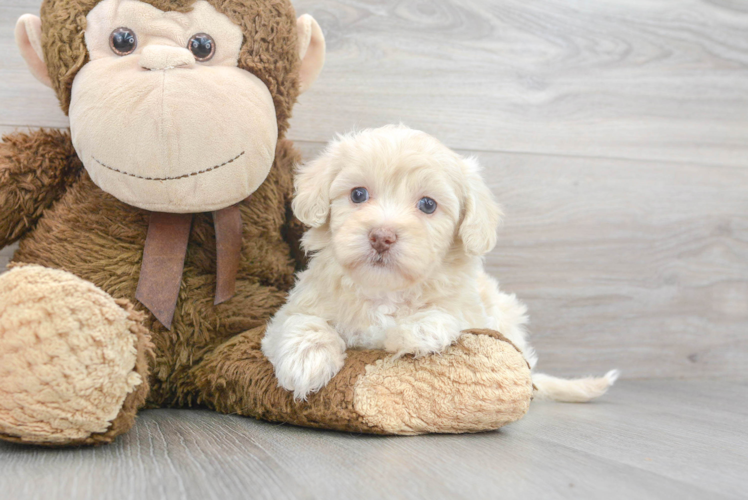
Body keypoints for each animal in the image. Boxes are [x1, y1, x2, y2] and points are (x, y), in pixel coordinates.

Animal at [262, 126, 620, 402]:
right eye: (358, 194)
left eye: (428, 205)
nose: (381, 236)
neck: (385, 291)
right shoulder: (293, 310)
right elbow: (300, 322)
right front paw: (306, 360)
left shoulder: (474, 313)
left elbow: (446, 315)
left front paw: (416, 330)